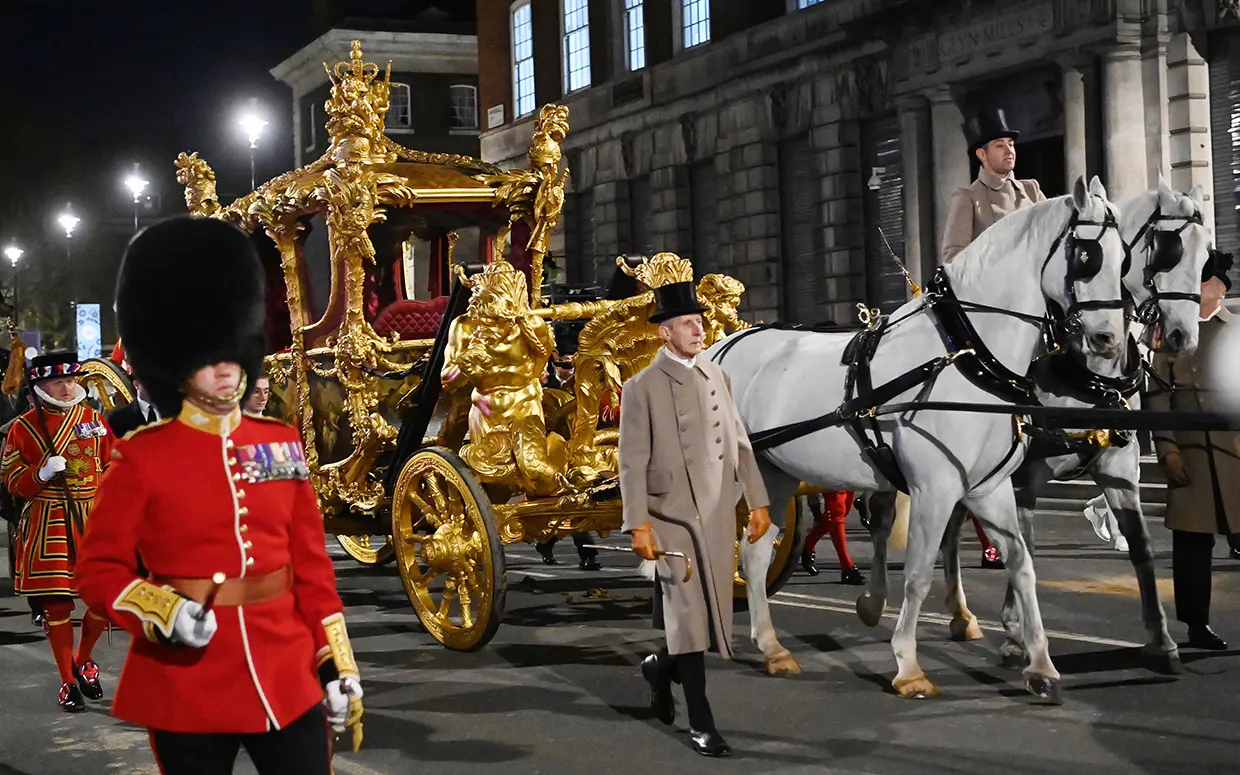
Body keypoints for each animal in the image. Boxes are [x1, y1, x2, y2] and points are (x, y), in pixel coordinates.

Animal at [719, 177, 1135, 699]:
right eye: (1085, 255)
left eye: (1125, 260)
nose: (1108, 341)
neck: (966, 355)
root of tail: (716, 348)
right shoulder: (933, 489)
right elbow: (918, 575)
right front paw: (909, 666)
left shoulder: (988, 488)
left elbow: (1022, 564)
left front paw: (1039, 665)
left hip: (773, 476)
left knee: (754, 554)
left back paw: (772, 648)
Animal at [922, 179, 1210, 669]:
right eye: (1167, 252)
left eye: (1206, 254)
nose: (1182, 337)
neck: (1086, 371)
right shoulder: (1022, 476)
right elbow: (1025, 545)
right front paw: (1016, 635)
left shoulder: (1118, 467)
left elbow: (1141, 543)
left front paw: (1161, 640)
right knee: (945, 530)